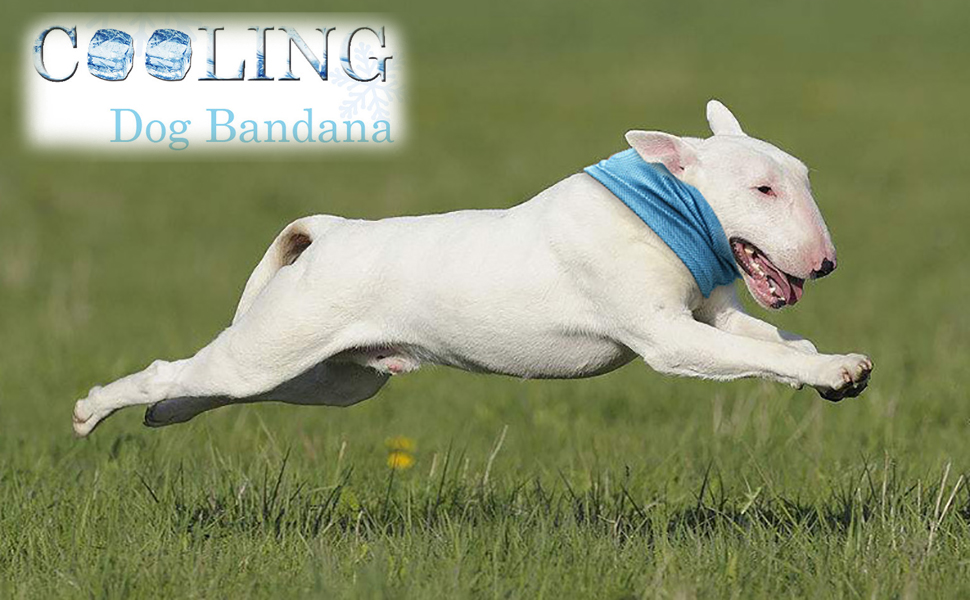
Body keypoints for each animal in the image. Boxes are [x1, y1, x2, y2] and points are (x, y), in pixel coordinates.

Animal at [72, 100, 872, 437]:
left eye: (801, 176)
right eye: (762, 189)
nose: (827, 262)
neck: (660, 210)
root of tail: (330, 233)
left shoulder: (716, 312)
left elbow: (771, 341)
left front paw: (835, 368)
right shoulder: (667, 336)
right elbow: (750, 353)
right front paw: (832, 371)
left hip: (336, 378)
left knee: (214, 387)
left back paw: (165, 414)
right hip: (274, 346)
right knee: (178, 369)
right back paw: (92, 411)